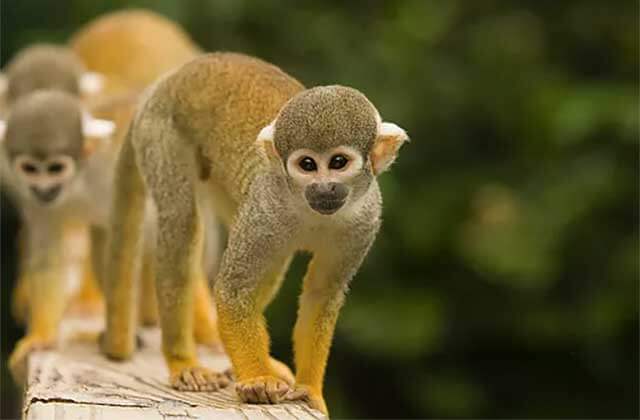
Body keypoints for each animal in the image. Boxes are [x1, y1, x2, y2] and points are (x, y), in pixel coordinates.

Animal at [102, 52, 408, 414]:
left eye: (337, 163)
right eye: (307, 165)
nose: (323, 189)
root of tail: (165, 82)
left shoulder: (365, 221)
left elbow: (322, 294)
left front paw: (309, 388)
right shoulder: (265, 209)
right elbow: (234, 290)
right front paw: (259, 378)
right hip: (161, 133)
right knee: (181, 222)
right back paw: (183, 361)